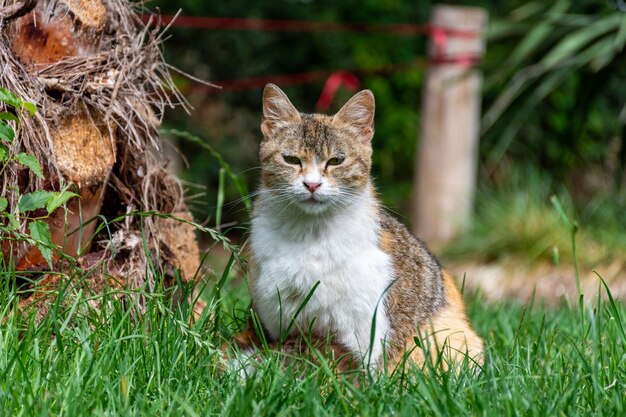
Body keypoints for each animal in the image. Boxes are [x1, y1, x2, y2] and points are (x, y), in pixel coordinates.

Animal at [241, 83, 480, 368]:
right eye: (291, 160)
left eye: (336, 161)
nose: (312, 184)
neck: (311, 234)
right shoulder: (277, 318)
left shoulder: (366, 326)